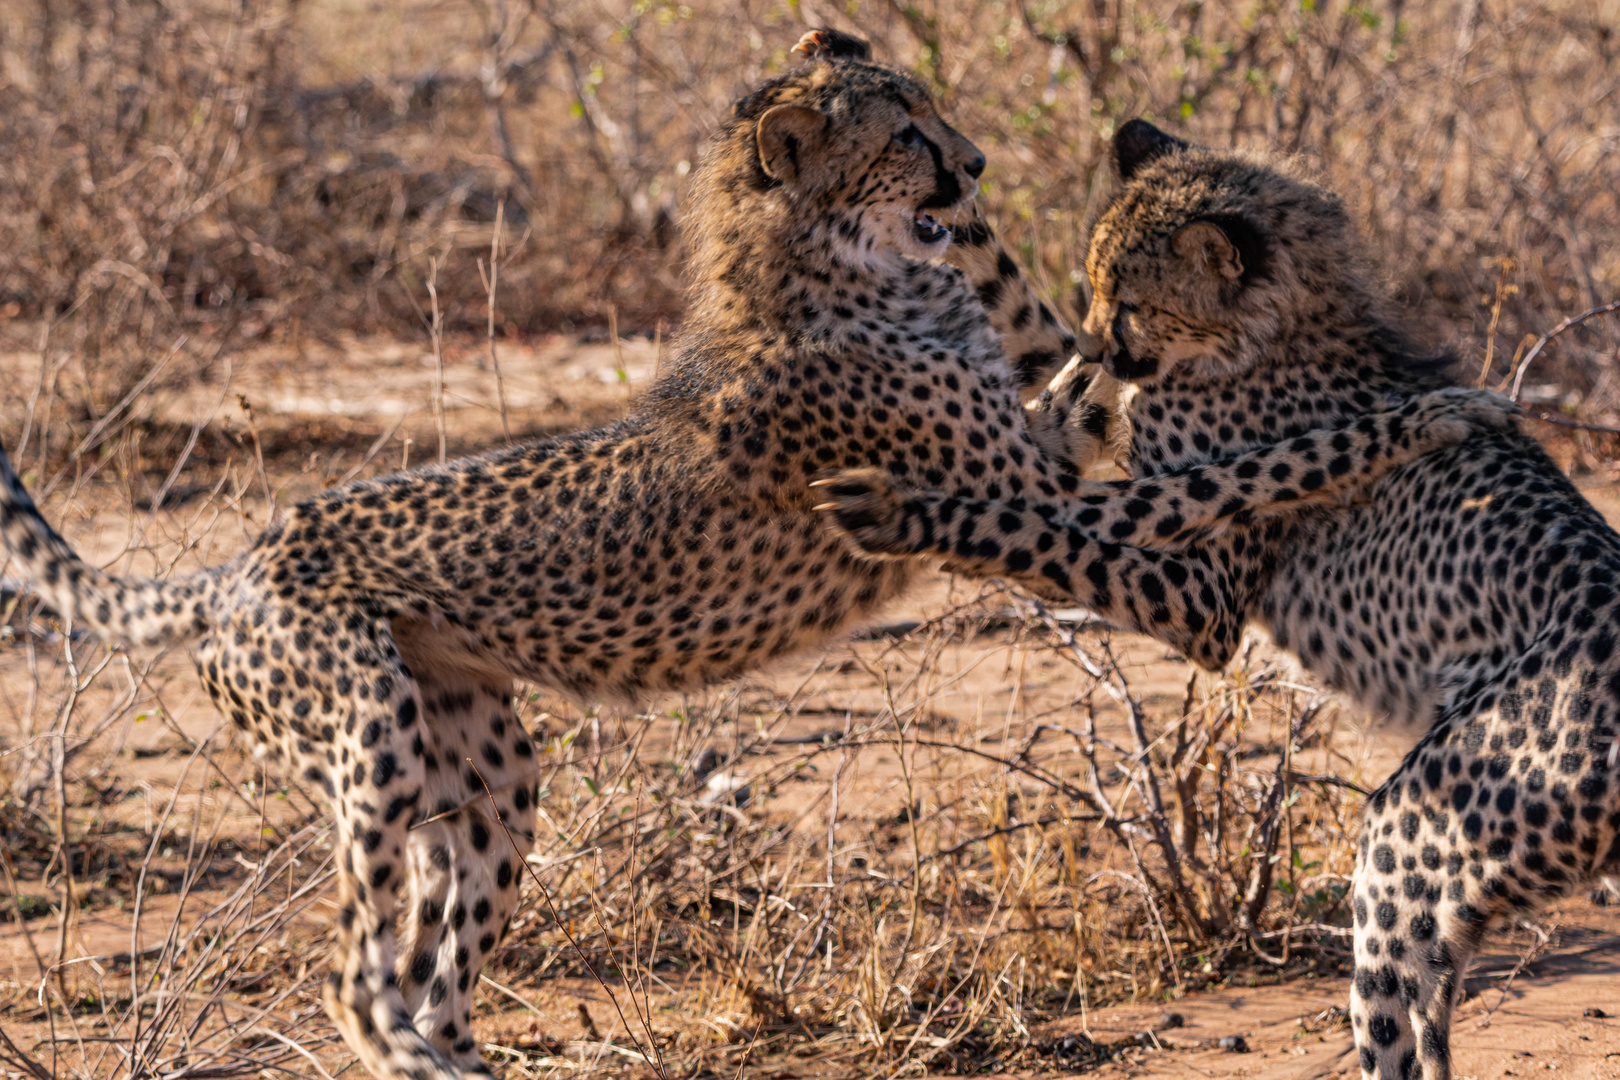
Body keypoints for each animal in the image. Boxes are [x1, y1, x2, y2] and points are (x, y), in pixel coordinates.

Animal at [0, 46, 1509, 1080]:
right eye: (907, 137)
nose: (973, 165)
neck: (830, 266)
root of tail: (238, 557)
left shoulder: (1037, 438)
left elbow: (1092, 372)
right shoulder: (1031, 488)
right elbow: (1215, 466)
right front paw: (1430, 412)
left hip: (483, 767)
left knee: (430, 966)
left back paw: (473, 1062)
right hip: (369, 738)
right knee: (354, 982)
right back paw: (415, 1054)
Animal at [822, 118, 1620, 1080]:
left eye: (1134, 301)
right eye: (1095, 287)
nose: (1100, 347)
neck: (1270, 323)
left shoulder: (1199, 593)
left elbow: (1040, 526)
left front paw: (902, 510)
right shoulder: (1102, 416)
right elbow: (1020, 315)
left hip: (1415, 833)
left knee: (1395, 1002)